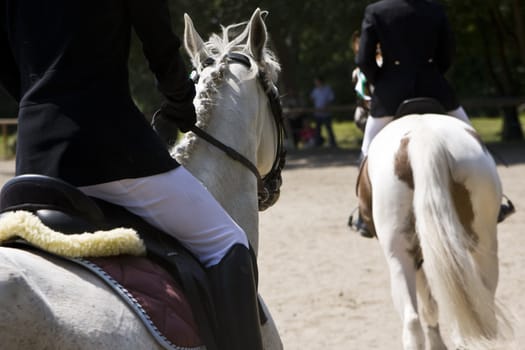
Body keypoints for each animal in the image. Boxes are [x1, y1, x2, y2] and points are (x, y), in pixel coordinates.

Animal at [356, 113, 512, 348]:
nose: (358, 119)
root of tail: (425, 137)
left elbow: (429, 306)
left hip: (399, 254)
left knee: (412, 322)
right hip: (484, 243)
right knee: (483, 309)